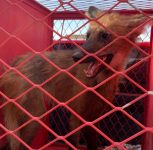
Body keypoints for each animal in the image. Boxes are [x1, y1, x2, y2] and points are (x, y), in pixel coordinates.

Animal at [0, 5, 149, 150]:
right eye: (88, 36)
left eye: (105, 35)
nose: (76, 57)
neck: (97, 83)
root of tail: (15, 63)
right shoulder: (76, 118)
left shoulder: (93, 120)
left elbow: (93, 146)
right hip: (35, 118)